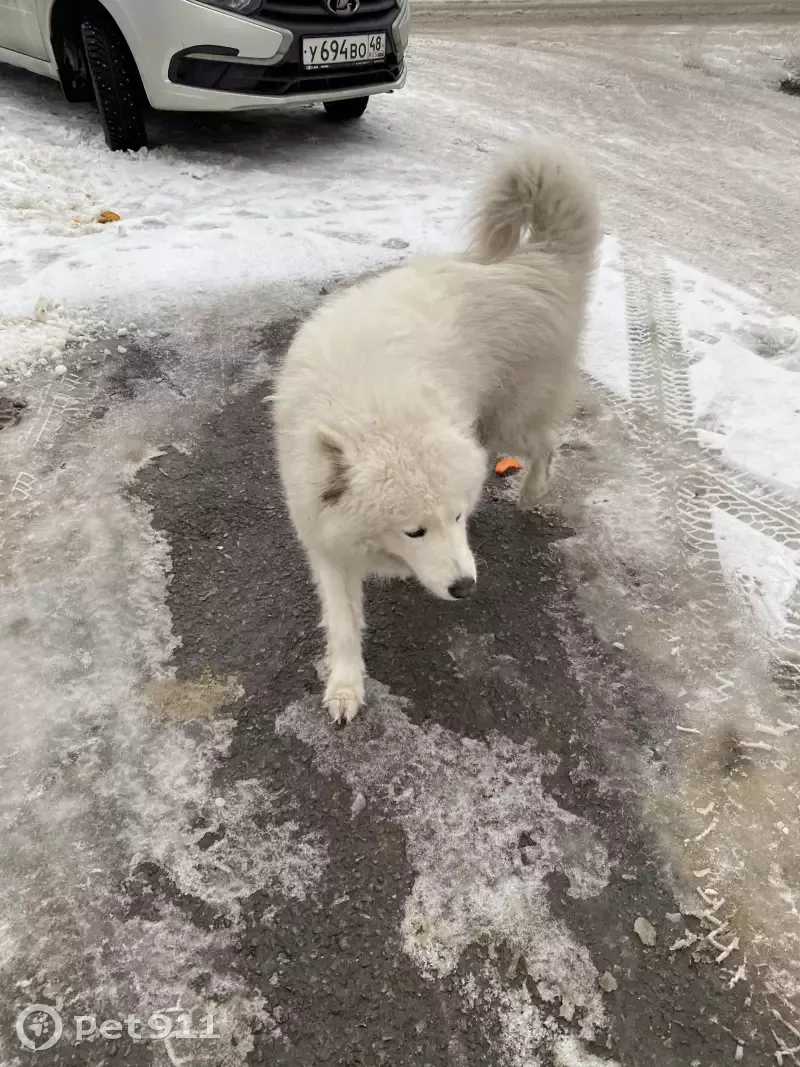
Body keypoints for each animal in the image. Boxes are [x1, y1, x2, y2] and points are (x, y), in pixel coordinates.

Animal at [275, 137, 601, 725]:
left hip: (510, 419)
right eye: (413, 531)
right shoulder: (327, 541)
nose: (465, 588)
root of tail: (537, 260)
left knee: (546, 443)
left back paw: (532, 492)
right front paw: (345, 686)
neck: (376, 408)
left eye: (456, 517)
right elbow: (342, 622)